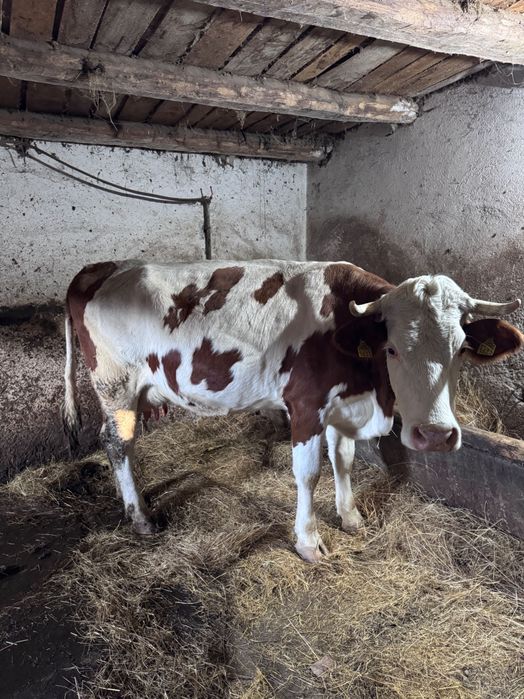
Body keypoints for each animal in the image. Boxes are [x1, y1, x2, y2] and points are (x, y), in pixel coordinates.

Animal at [63, 260, 523, 562]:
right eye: (392, 348)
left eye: (459, 349)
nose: (436, 436)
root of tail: (104, 266)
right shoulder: (306, 405)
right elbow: (309, 473)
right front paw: (308, 542)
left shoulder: (342, 406)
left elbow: (344, 460)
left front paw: (350, 515)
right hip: (115, 385)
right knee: (117, 444)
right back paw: (140, 516)